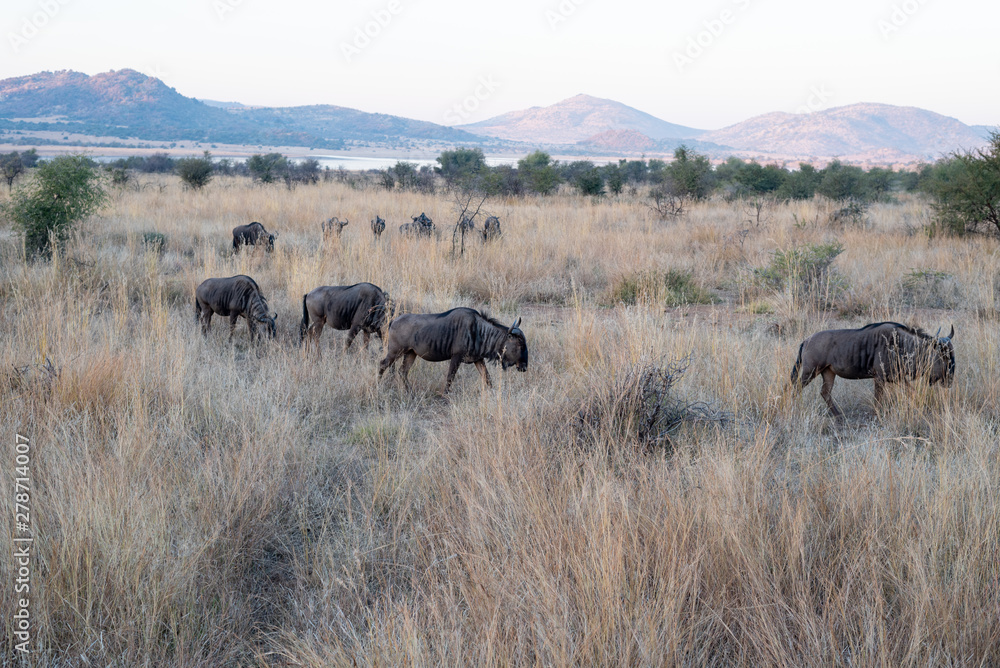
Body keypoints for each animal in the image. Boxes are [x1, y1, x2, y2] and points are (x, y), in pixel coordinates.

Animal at [379, 308, 527, 393]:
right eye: (520, 344)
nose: (524, 367)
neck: (479, 331)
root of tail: (393, 321)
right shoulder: (456, 357)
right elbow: (450, 377)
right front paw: (446, 395)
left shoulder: (478, 359)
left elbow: (487, 378)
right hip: (395, 352)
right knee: (383, 364)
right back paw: (378, 385)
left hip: (410, 354)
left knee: (402, 371)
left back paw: (410, 392)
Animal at [791, 321, 955, 417]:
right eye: (944, 358)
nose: (949, 382)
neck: (901, 345)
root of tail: (806, 340)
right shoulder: (880, 378)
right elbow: (878, 399)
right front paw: (876, 415)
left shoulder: (898, 378)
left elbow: (912, 393)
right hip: (810, 371)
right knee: (796, 388)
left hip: (828, 372)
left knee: (825, 392)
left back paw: (839, 416)